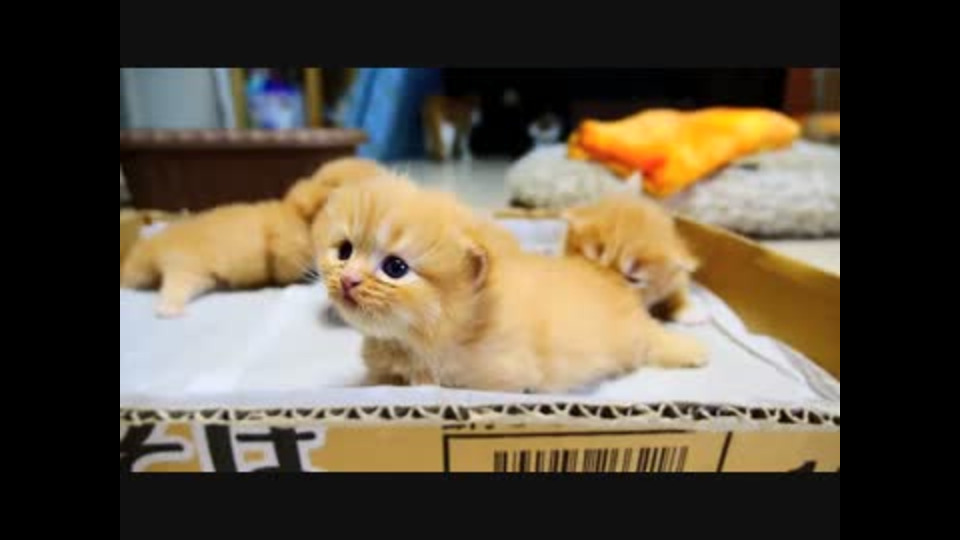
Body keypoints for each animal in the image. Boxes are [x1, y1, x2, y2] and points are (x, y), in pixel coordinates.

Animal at [120, 157, 386, 317]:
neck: (299, 213)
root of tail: (154, 244)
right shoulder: (285, 250)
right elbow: (287, 268)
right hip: (188, 269)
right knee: (174, 286)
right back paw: (169, 309)